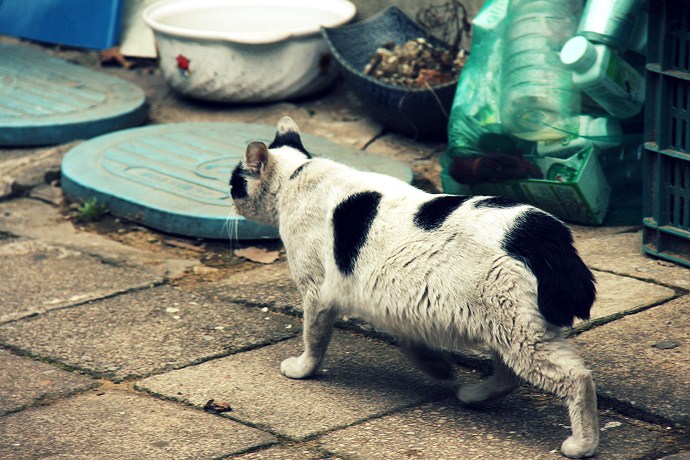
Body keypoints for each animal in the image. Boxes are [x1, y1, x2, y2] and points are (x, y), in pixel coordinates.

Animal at [230, 117, 596, 456]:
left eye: (234, 183)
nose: (228, 198)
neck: (296, 176)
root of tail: (545, 236)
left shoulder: (317, 292)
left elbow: (314, 339)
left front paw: (302, 369)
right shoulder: (404, 305)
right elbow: (411, 344)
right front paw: (440, 369)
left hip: (519, 333)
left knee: (576, 378)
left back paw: (582, 444)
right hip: (503, 328)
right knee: (509, 375)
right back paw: (473, 395)